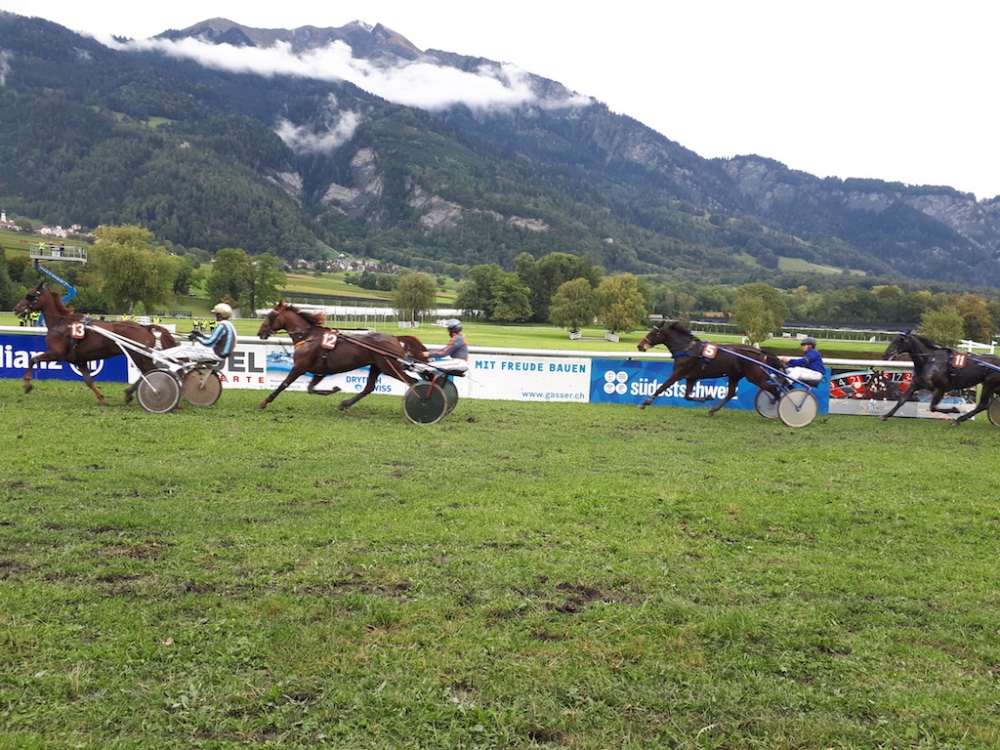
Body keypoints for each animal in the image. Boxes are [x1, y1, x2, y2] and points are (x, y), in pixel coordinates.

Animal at [12, 282, 181, 406]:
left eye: (30, 296)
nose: (16, 309)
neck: (61, 323)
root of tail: (144, 327)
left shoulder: (56, 354)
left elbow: (33, 359)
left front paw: (27, 385)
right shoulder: (80, 360)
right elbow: (89, 381)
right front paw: (102, 399)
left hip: (139, 355)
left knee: (153, 372)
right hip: (138, 356)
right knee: (149, 373)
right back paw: (130, 394)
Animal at [256, 302, 428, 412]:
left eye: (270, 315)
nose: (260, 333)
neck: (307, 336)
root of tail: (395, 338)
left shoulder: (300, 366)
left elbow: (283, 384)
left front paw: (264, 402)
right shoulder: (320, 370)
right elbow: (311, 388)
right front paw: (333, 389)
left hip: (390, 367)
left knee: (412, 381)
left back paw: (422, 401)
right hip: (377, 366)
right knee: (369, 388)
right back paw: (344, 404)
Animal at [636, 322, 784, 418]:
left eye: (654, 332)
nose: (640, 346)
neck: (687, 349)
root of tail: (759, 351)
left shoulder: (678, 373)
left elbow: (662, 387)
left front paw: (644, 403)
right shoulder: (691, 377)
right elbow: (687, 396)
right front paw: (708, 396)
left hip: (754, 376)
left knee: (773, 389)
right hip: (736, 375)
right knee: (731, 393)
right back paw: (712, 410)